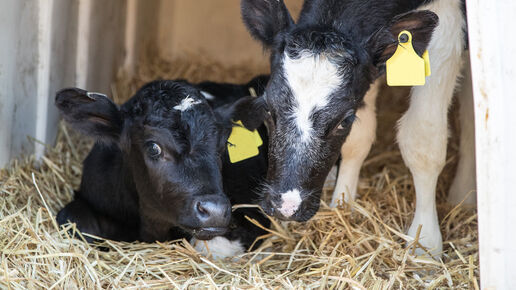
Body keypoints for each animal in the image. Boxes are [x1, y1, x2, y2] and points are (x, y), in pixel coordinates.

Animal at [242, 0, 472, 258]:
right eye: (268, 109)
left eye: (344, 121)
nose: (286, 207)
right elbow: (358, 140)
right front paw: (342, 206)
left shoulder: (448, 27)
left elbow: (423, 139)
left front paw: (424, 242)